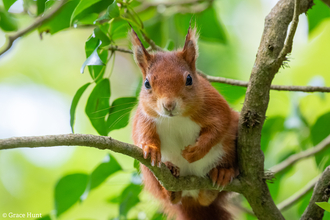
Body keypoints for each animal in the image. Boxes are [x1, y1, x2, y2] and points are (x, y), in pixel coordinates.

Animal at [131, 26, 240, 220]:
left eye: (189, 79)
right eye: (146, 84)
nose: (168, 105)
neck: (175, 119)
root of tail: (191, 197)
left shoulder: (214, 105)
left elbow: (219, 126)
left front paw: (195, 152)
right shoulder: (144, 117)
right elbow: (142, 134)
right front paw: (150, 148)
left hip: (229, 149)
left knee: (209, 196)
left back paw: (221, 175)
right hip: (150, 174)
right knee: (171, 197)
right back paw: (171, 185)